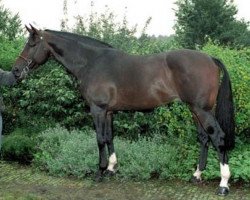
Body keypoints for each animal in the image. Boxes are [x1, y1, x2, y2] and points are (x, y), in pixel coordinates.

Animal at [11, 25, 234, 195]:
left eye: (32, 43)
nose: (15, 70)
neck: (91, 62)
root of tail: (211, 58)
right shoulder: (109, 112)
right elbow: (110, 137)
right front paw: (112, 169)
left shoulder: (97, 110)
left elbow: (100, 139)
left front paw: (100, 172)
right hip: (195, 110)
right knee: (204, 138)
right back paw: (197, 175)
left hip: (202, 110)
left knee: (218, 137)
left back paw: (223, 184)